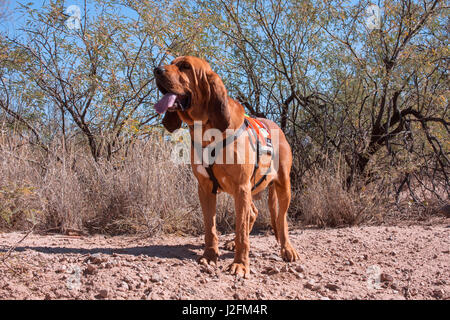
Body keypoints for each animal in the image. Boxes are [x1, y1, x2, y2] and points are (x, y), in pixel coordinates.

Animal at [155, 56, 298, 276]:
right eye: (171, 62)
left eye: (185, 66)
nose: (156, 70)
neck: (206, 130)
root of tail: (276, 126)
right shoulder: (206, 189)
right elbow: (210, 228)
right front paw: (209, 256)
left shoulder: (241, 187)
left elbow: (242, 232)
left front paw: (240, 264)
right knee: (253, 213)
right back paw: (231, 242)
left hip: (281, 187)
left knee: (281, 221)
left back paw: (287, 249)